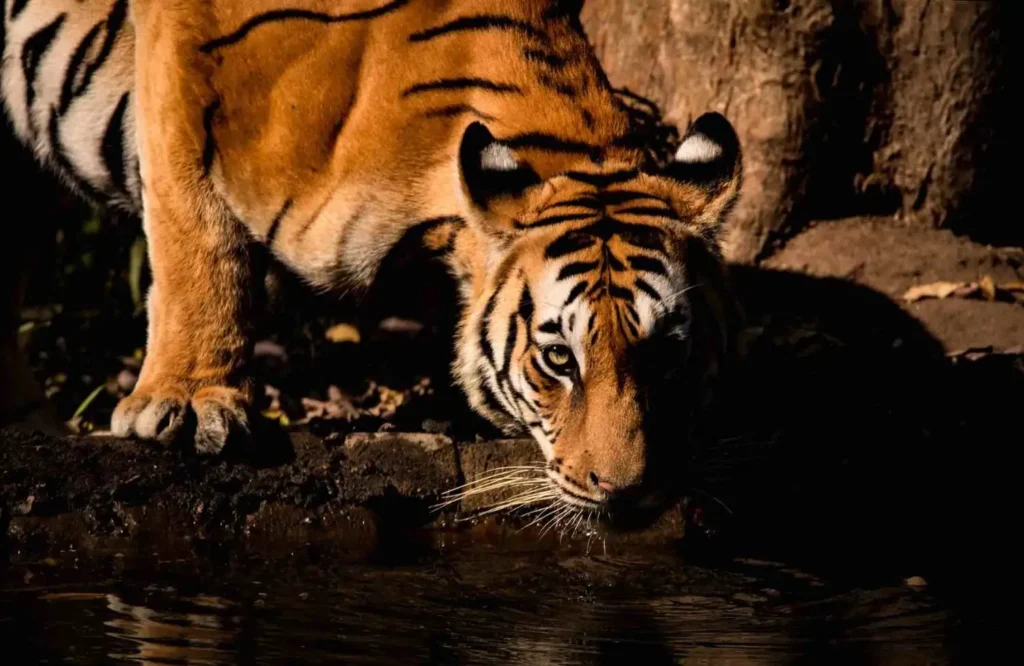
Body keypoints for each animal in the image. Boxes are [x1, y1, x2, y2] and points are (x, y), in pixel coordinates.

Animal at [1, 0, 743, 519]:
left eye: (667, 351)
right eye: (559, 358)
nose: (628, 492)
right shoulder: (180, 54)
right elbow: (194, 235)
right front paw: (185, 406)